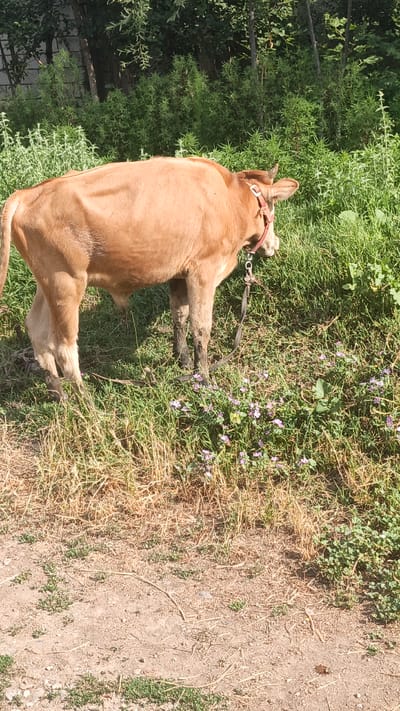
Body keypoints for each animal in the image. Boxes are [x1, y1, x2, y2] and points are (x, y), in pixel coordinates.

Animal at [0, 157, 298, 399]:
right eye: (273, 207)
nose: (275, 244)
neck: (230, 200)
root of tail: (27, 193)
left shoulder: (179, 272)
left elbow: (179, 315)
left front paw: (183, 360)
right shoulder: (204, 269)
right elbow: (201, 326)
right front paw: (205, 380)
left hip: (47, 283)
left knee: (37, 331)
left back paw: (58, 394)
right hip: (67, 283)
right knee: (64, 346)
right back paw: (87, 404)